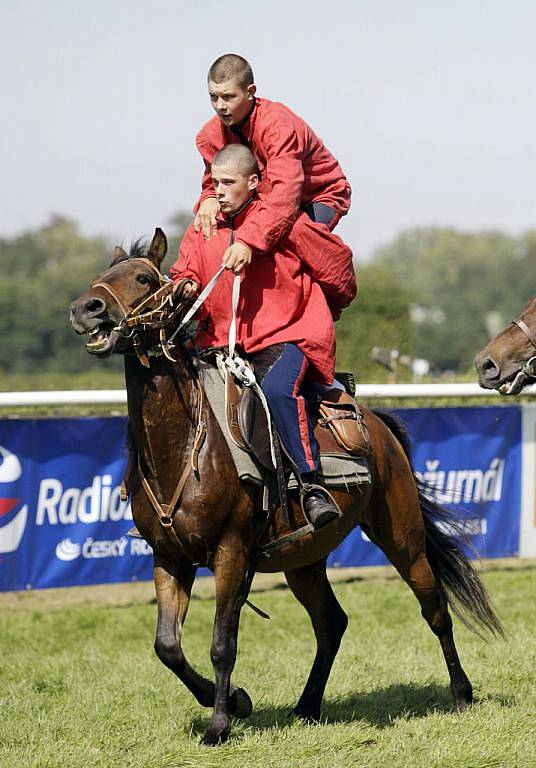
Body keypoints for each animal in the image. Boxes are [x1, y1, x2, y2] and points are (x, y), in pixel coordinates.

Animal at [68, 230, 502, 744]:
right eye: (99, 276)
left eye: (141, 278)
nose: (86, 308)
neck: (185, 449)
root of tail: (375, 424)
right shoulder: (168, 558)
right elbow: (167, 646)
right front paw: (235, 700)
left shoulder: (231, 553)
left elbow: (222, 643)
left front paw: (219, 724)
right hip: (304, 559)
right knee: (332, 623)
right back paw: (308, 705)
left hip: (403, 536)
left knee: (434, 609)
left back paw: (460, 694)